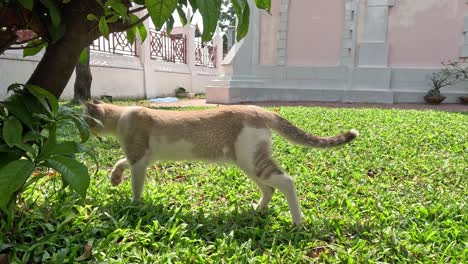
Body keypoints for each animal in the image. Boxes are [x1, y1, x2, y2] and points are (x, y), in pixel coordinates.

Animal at [82, 100, 358, 226]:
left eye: (84, 120)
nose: (80, 133)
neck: (120, 118)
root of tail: (261, 110)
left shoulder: (140, 160)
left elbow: (136, 185)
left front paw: (135, 205)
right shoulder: (141, 157)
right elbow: (121, 162)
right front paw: (114, 178)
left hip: (252, 162)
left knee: (287, 182)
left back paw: (297, 221)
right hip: (248, 163)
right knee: (270, 188)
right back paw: (258, 210)